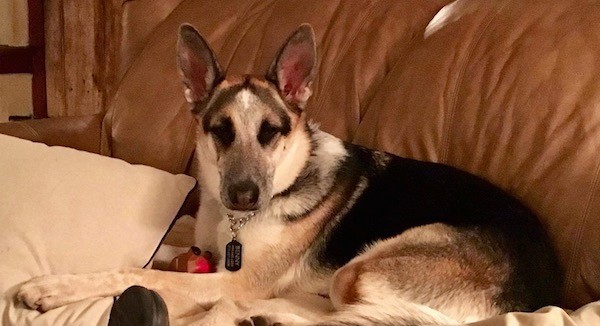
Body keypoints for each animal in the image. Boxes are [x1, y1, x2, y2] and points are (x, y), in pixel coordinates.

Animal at [18, 23, 564, 326]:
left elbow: (134, 270)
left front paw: (52, 288)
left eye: (270, 132)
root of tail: (541, 294)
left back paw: (265, 316)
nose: (242, 196)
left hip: (357, 271)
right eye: (220, 131)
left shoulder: (236, 282)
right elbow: (167, 255)